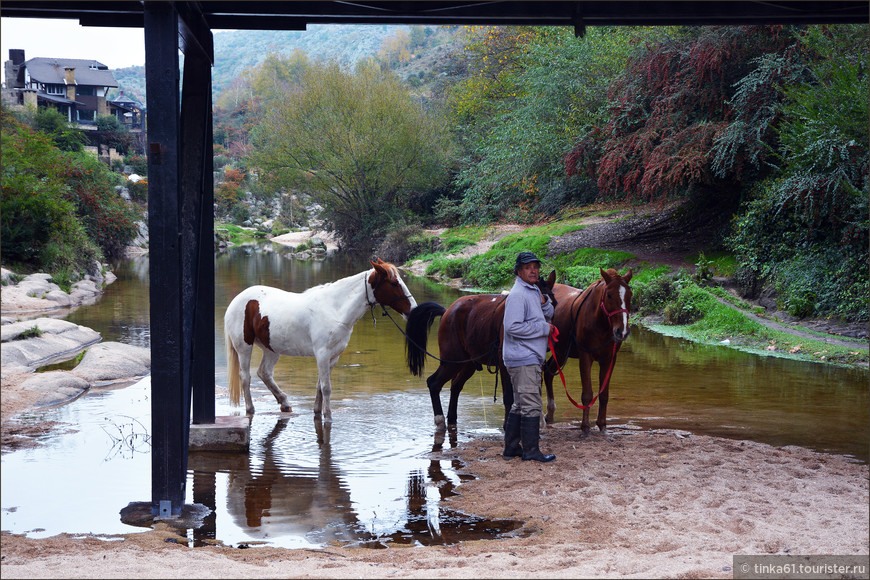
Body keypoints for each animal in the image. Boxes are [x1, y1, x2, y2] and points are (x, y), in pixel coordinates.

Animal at [223, 260, 418, 422]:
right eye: (394, 283)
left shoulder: (333, 357)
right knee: (245, 377)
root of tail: (236, 301)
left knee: (264, 373)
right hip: (244, 348)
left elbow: (319, 386)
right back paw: (251, 409)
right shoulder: (323, 355)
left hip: (272, 349)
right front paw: (328, 416)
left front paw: (318, 411)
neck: (334, 309)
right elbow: (326, 388)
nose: (413, 310)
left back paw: (284, 402)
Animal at [404, 272, 560, 430]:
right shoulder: (504, 365)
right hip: (452, 361)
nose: (548, 342)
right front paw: (507, 426)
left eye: (554, 304)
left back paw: (452, 418)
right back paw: (440, 420)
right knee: (434, 383)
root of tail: (447, 311)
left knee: (455, 386)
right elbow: (509, 396)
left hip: (468, 363)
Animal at [544, 268, 632, 436]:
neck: (600, 322)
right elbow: (587, 394)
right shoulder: (585, 356)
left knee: (547, 372)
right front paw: (585, 427)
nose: (622, 331)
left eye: (630, 295)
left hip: (560, 351)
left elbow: (603, 394)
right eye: (609, 295)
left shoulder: (609, 359)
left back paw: (550, 413)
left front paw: (602, 425)